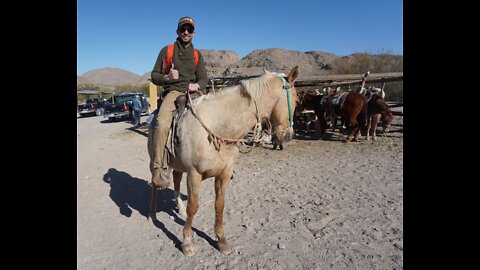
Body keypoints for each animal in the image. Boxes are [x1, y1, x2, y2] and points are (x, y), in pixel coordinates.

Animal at [146, 66, 298, 256]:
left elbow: (220, 205)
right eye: (297, 100)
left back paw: (179, 209)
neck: (219, 126)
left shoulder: (224, 174)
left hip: (178, 164)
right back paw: (152, 212)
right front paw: (187, 242)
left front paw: (221, 240)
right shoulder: (194, 175)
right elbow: (193, 207)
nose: (289, 136)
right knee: (154, 181)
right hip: (155, 158)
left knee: (176, 180)